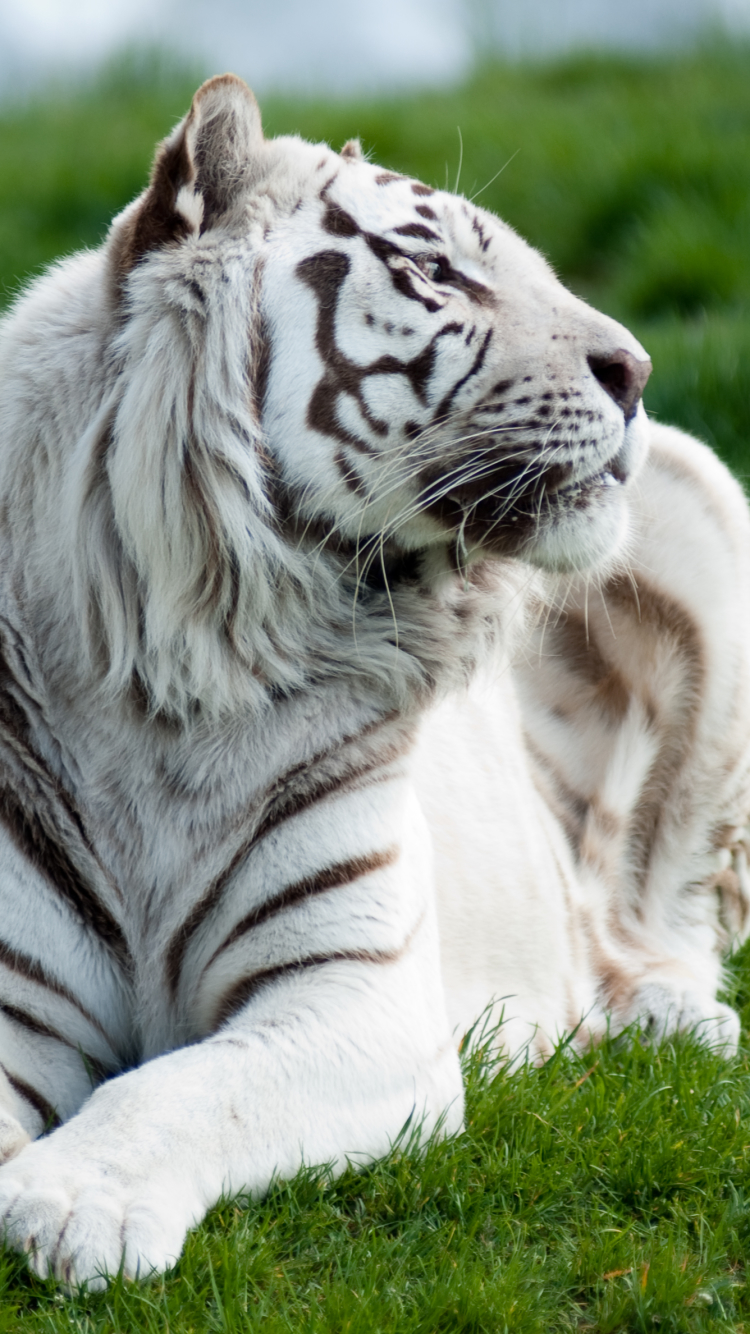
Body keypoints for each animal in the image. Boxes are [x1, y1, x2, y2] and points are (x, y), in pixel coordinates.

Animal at [0, 75, 747, 1291]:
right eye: (436, 269)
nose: (636, 371)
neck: (178, 683)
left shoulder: (359, 997)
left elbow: (182, 1086)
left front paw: (71, 1202)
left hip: (705, 497)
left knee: (662, 917)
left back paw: (676, 1019)